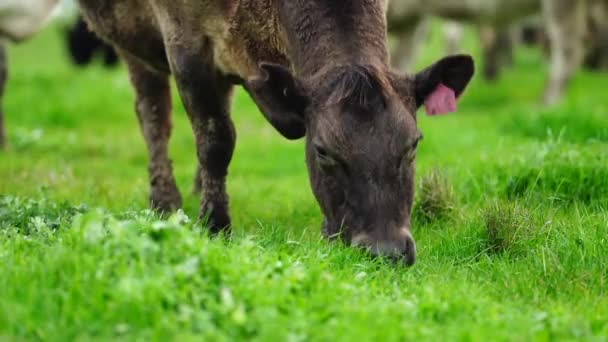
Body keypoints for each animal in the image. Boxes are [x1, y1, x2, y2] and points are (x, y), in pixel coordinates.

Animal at [77, 0, 476, 264]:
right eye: (322, 151)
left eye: (413, 145)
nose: (386, 252)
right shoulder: (184, 39)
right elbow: (215, 139)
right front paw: (214, 225)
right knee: (153, 114)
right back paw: (164, 200)